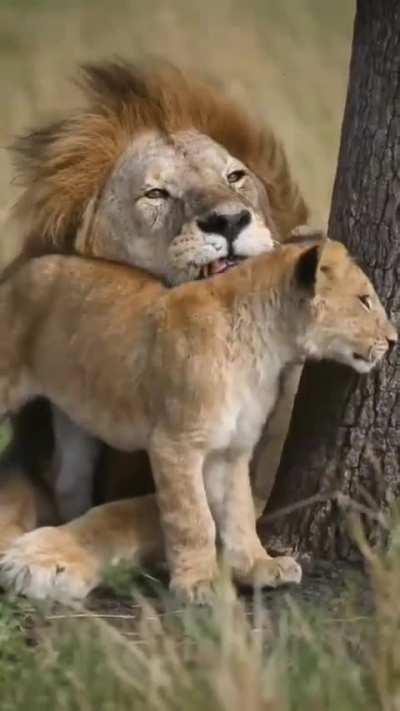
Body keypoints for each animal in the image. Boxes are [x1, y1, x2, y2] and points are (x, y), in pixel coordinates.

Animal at [0, 60, 308, 547]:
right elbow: (14, 493)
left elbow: (126, 512)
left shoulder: (260, 488)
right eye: (156, 194)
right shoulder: (34, 451)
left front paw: (46, 552)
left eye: (234, 177)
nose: (229, 220)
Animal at [0, 238, 396, 603]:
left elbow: (239, 511)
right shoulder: (175, 442)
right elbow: (193, 518)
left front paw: (259, 566)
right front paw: (200, 583)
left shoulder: (233, 449)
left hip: (75, 419)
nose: (393, 340)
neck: (267, 350)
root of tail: (17, 272)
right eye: (364, 300)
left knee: (67, 480)